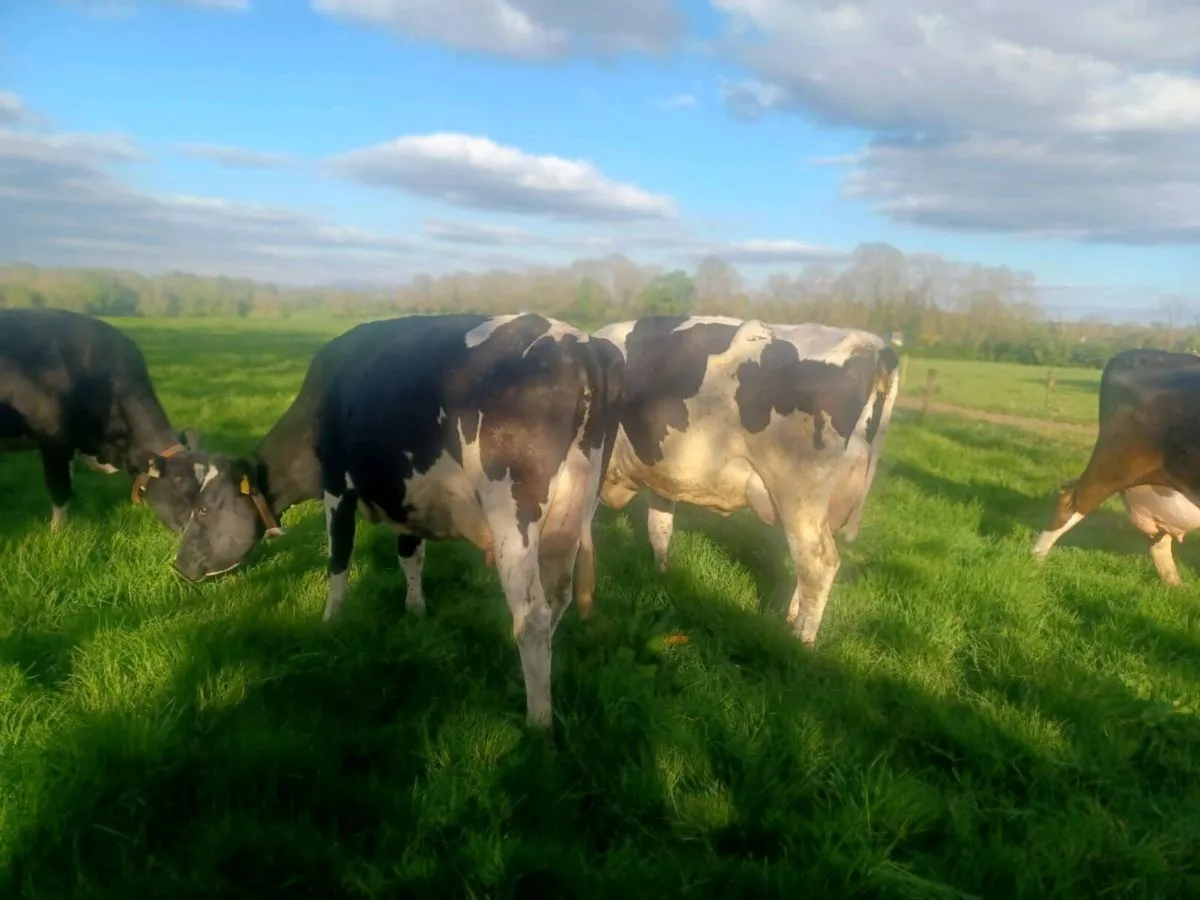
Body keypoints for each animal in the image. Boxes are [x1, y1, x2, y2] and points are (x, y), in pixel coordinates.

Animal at [172, 313, 624, 729]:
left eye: (203, 509)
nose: (178, 565)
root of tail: (581, 344)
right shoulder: (409, 500)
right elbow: (411, 555)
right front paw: (415, 609)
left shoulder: (337, 485)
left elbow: (339, 558)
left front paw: (331, 620)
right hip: (572, 515)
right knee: (558, 598)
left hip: (513, 516)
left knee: (532, 617)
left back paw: (538, 722)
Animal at [592, 315, 900, 645]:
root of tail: (873, 345)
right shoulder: (663, 475)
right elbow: (659, 528)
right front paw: (661, 575)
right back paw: (792, 619)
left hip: (799, 497)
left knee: (818, 563)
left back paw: (801, 642)